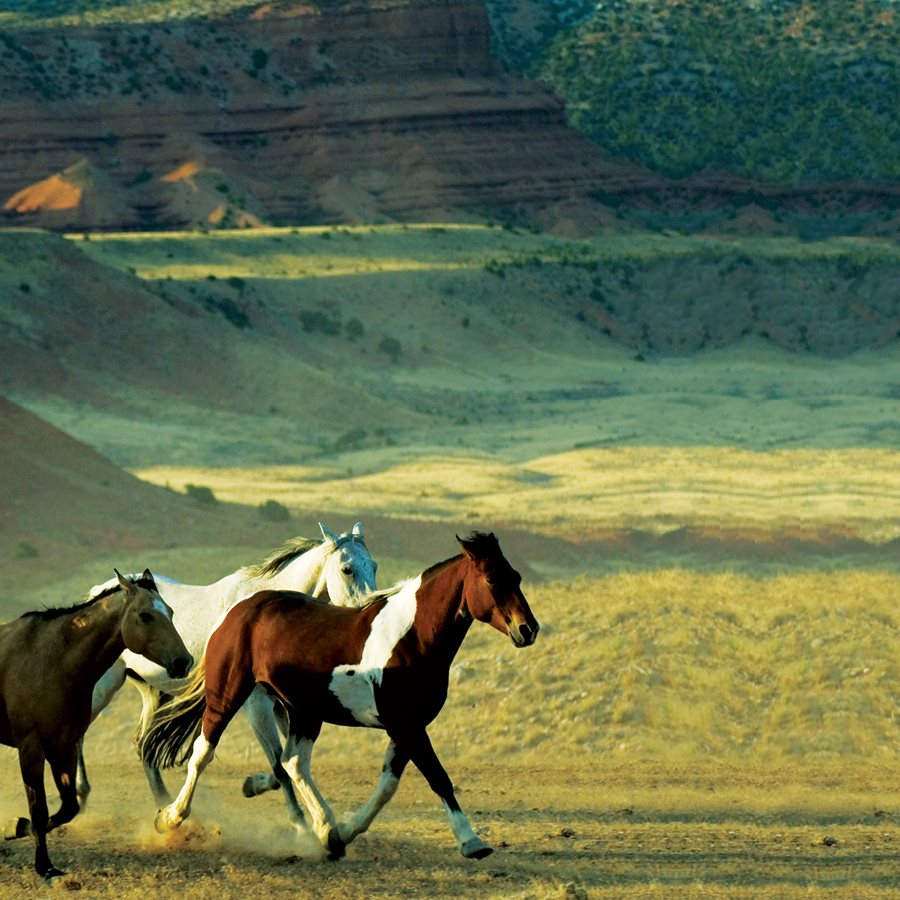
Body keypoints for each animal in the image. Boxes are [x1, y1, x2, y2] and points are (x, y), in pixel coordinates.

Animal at [0, 568, 192, 880]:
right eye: (145, 616)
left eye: (171, 612)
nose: (182, 661)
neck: (52, 659)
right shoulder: (31, 748)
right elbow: (39, 809)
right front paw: (44, 865)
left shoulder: (62, 747)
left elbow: (67, 808)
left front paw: (15, 827)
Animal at [81, 520, 376, 824]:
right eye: (347, 569)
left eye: (374, 566)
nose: (368, 612)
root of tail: (99, 593)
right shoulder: (258, 705)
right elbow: (279, 764)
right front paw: (300, 824)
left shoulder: (282, 706)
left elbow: (286, 763)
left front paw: (253, 785)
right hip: (102, 686)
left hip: (151, 691)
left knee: (143, 745)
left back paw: (163, 802)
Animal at [141, 532, 536, 860]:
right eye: (492, 579)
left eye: (516, 577)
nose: (528, 629)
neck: (411, 636)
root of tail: (241, 609)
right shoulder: (407, 726)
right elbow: (438, 777)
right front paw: (472, 841)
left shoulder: (405, 727)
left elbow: (387, 786)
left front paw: (343, 832)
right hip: (230, 695)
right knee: (203, 754)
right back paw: (170, 817)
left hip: (302, 711)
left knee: (293, 762)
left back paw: (325, 829)